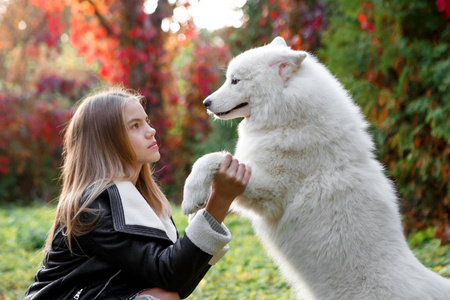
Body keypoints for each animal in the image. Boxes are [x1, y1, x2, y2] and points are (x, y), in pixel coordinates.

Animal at [182, 36, 450, 298]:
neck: (289, 120)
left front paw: (190, 197)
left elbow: (209, 159)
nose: (206, 102)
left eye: (235, 81)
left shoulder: (269, 192)